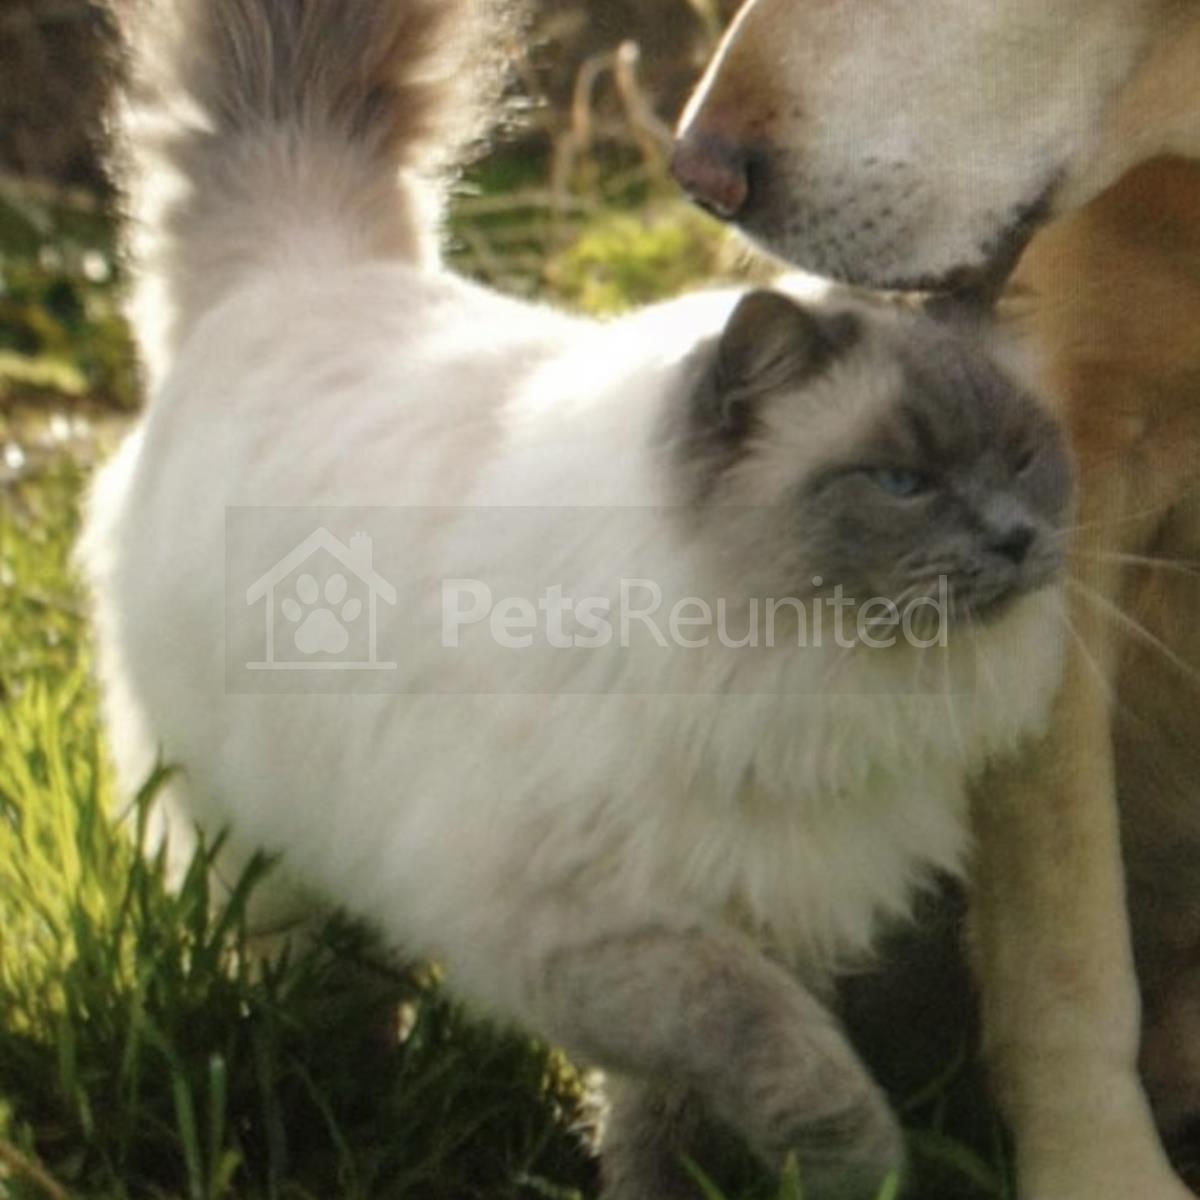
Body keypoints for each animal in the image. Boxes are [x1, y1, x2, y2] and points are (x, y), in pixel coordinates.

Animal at [82, 1, 1073, 1195]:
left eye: (1021, 461)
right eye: (901, 481)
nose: (1016, 539)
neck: (809, 666)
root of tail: (299, 259)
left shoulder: (764, 903)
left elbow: (661, 1124)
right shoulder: (594, 931)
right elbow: (783, 1053)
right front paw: (866, 1164)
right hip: (261, 847)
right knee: (309, 979)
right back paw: (336, 1093)